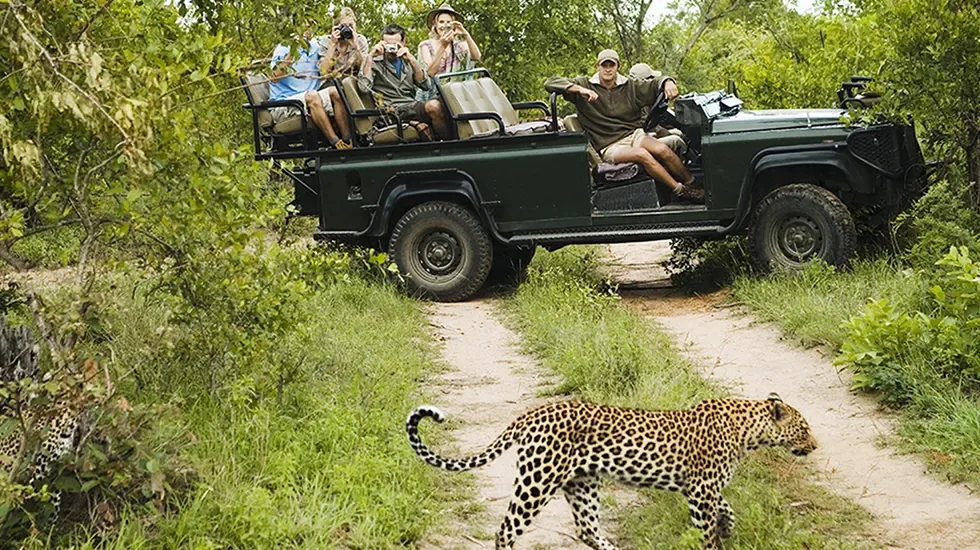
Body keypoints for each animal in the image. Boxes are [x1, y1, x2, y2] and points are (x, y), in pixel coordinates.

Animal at [406, 393, 817, 550]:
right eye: (804, 428)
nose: (814, 446)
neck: (749, 431)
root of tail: (530, 414)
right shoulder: (701, 491)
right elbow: (707, 531)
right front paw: (718, 538)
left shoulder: (700, 489)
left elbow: (727, 508)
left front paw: (728, 526)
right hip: (537, 480)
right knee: (505, 530)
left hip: (582, 483)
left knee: (586, 529)